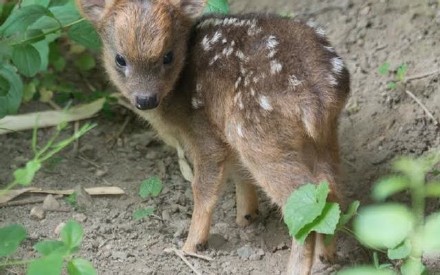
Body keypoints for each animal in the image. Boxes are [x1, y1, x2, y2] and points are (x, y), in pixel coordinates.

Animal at [76, 1, 350, 274]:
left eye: (168, 56)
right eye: (120, 59)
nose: (145, 99)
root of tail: (319, 98)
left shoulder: (205, 131)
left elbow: (202, 188)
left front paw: (191, 246)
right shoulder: (225, 134)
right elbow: (240, 174)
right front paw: (246, 217)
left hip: (257, 135)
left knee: (302, 199)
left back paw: (296, 267)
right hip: (322, 137)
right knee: (331, 190)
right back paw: (326, 257)